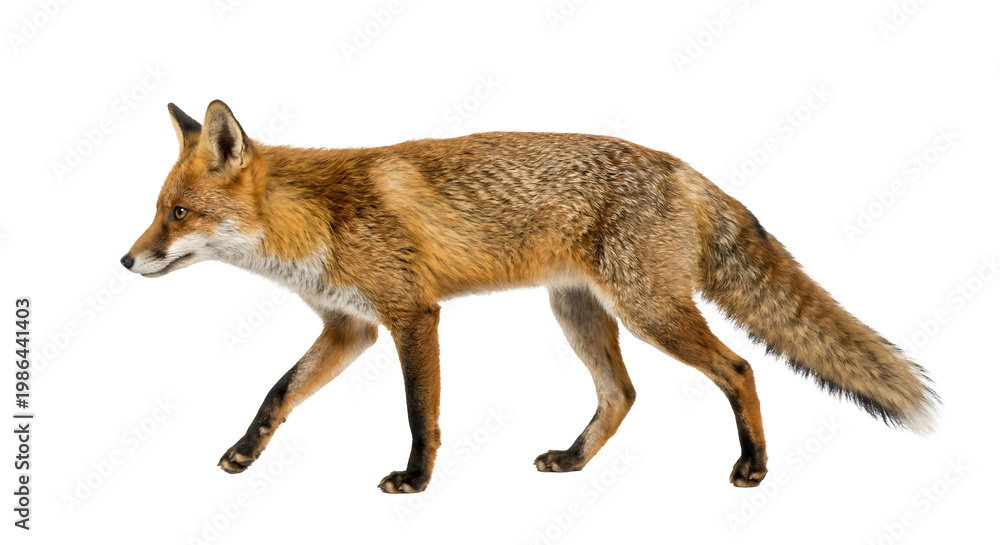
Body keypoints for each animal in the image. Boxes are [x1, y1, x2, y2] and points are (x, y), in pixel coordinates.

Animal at [122, 100, 938, 493]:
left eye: (179, 213)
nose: (126, 260)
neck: (315, 216)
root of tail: (681, 166)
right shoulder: (349, 327)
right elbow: (277, 393)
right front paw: (243, 453)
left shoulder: (411, 314)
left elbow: (420, 412)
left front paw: (416, 480)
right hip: (578, 312)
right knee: (621, 394)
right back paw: (573, 461)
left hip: (650, 312)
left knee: (738, 368)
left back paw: (754, 467)